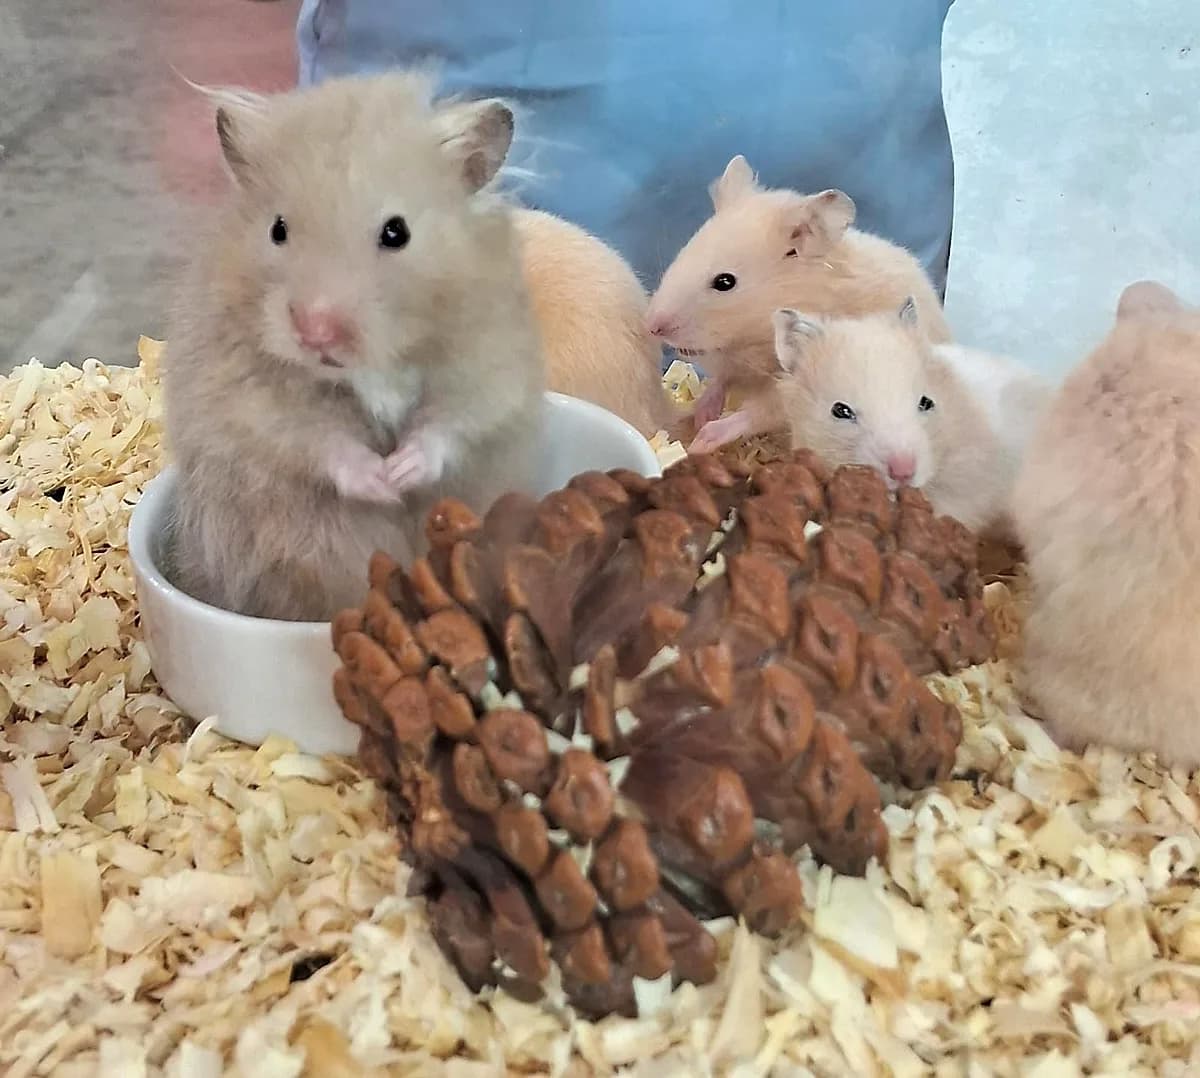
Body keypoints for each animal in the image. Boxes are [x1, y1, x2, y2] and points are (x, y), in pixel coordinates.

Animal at [163, 73, 543, 623]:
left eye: (396, 231)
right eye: (278, 229)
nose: (314, 333)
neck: (369, 367)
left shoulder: (489, 364)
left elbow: (452, 422)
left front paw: (401, 471)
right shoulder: (245, 391)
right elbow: (317, 438)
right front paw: (379, 482)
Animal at [645, 154, 952, 455]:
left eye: (724, 282)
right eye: (684, 251)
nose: (651, 326)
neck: (753, 344)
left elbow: (758, 412)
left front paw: (703, 439)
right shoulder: (733, 365)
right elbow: (720, 382)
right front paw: (702, 414)